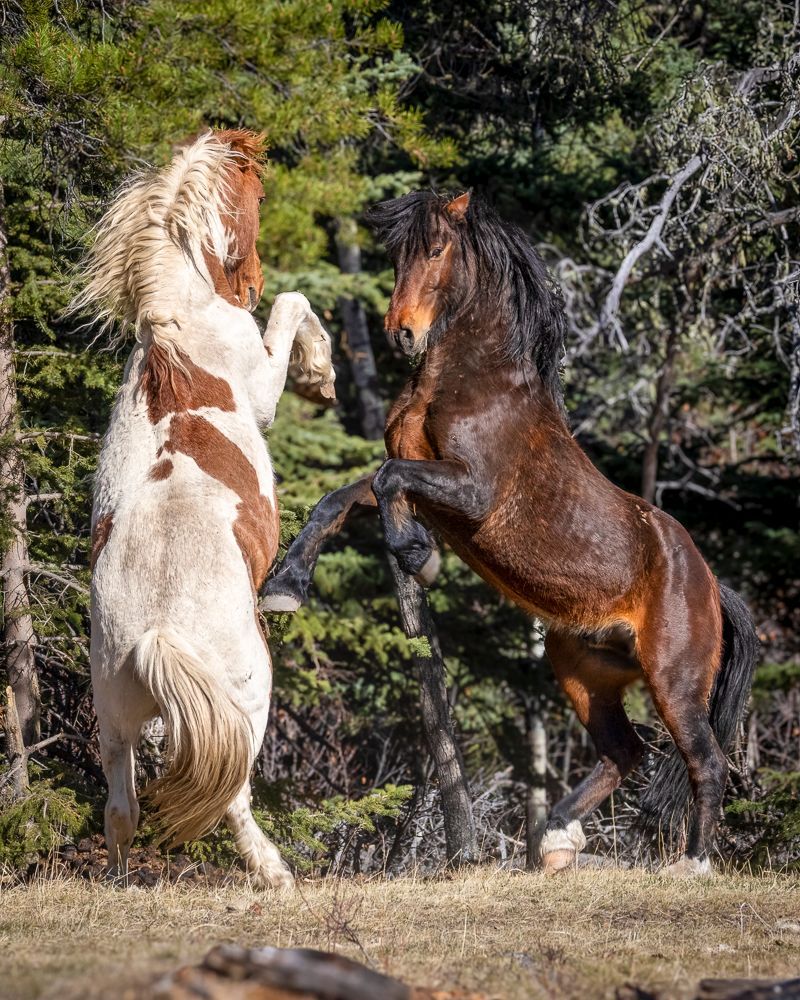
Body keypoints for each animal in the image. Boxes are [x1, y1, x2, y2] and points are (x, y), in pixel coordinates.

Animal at [71, 129, 335, 887]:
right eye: (259, 196)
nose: (247, 284)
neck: (179, 324)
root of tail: (160, 630)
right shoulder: (264, 385)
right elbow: (295, 306)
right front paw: (322, 373)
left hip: (114, 721)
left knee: (122, 807)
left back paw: (122, 880)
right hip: (248, 697)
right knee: (233, 794)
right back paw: (276, 874)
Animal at [261, 190, 759, 876]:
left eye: (436, 249)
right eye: (396, 253)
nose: (402, 332)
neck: (470, 381)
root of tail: (711, 587)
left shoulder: (471, 492)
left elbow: (389, 481)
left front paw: (417, 556)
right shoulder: (422, 481)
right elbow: (340, 499)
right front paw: (285, 587)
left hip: (674, 680)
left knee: (704, 761)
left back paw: (692, 864)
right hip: (582, 670)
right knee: (625, 752)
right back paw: (557, 840)